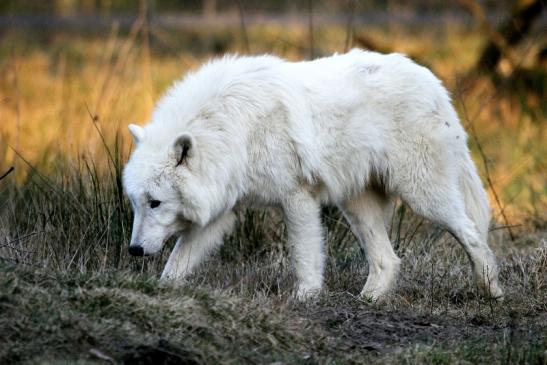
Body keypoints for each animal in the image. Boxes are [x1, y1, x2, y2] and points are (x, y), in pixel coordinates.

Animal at [123, 49, 506, 300]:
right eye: (137, 204)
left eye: (156, 203)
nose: (134, 250)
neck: (231, 126)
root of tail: (434, 83)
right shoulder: (222, 209)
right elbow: (178, 260)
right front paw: (158, 290)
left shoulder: (297, 196)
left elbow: (304, 253)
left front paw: (306, 297)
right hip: (357, 206)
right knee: (388, 260)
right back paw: (367, 300)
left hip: (423, 197)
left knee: (472, 234)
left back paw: (492, 291)